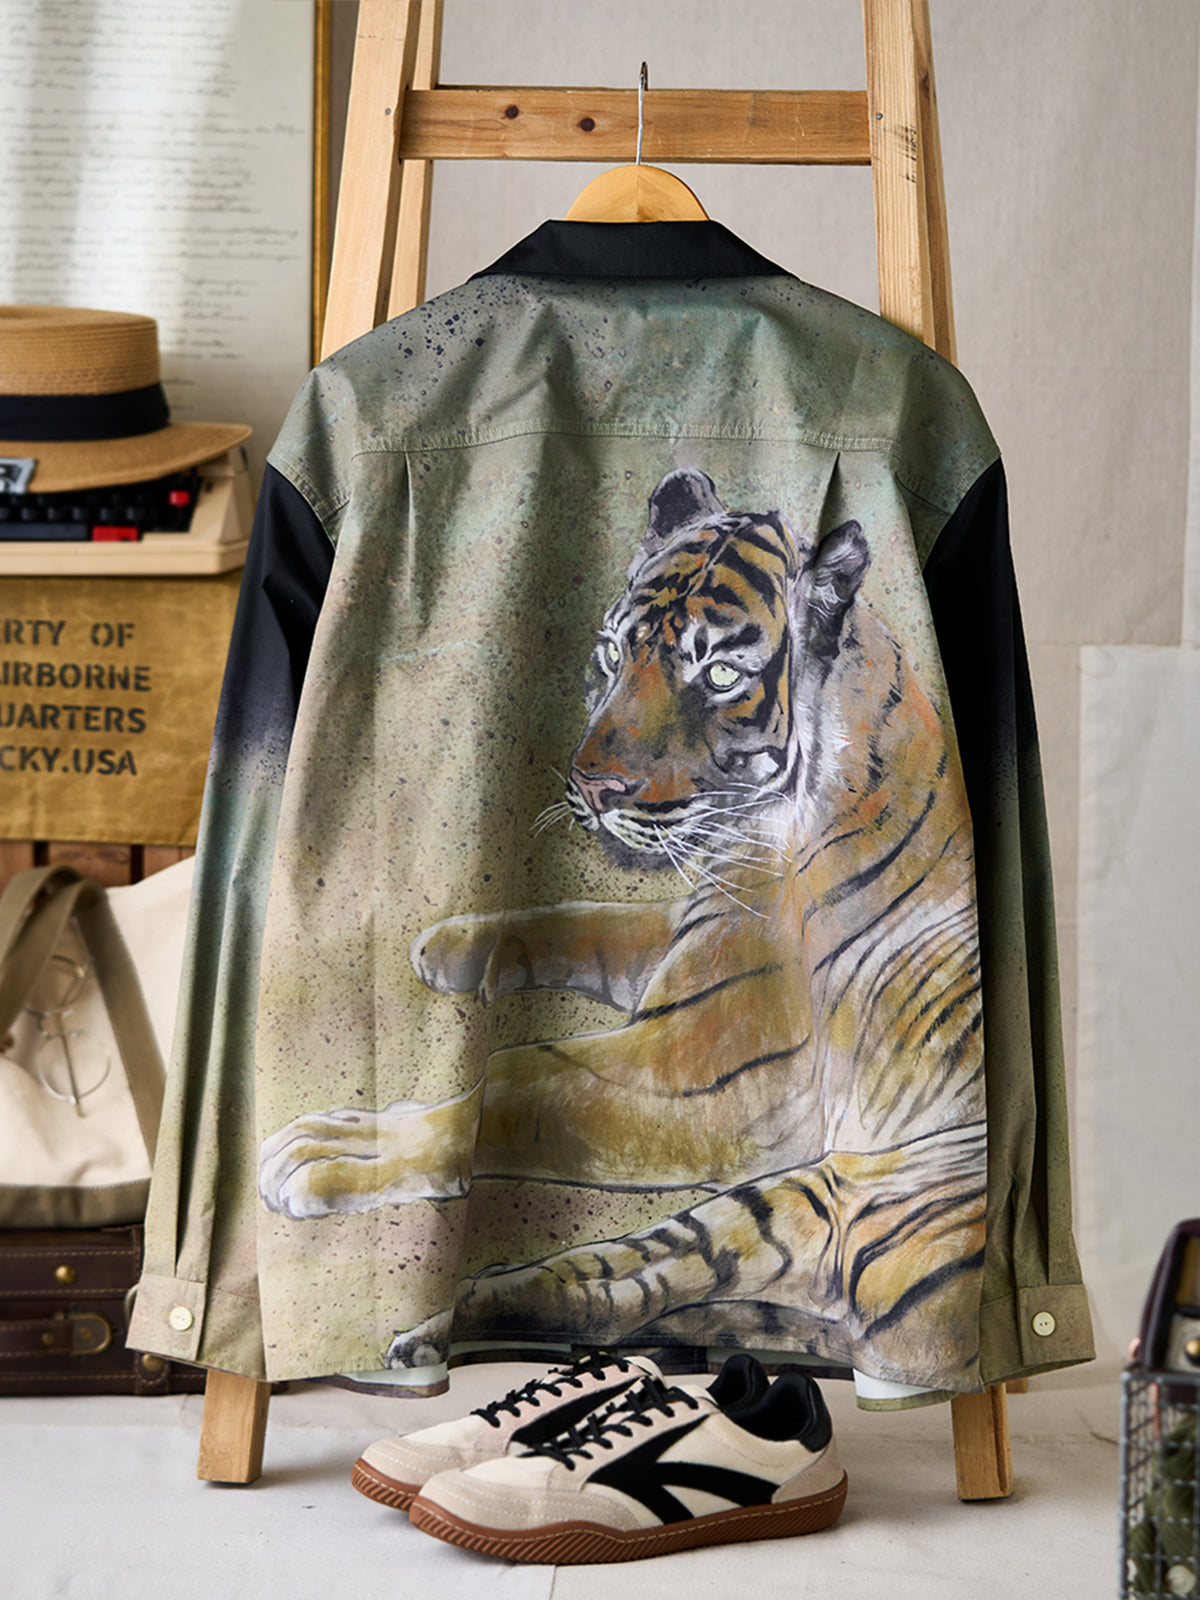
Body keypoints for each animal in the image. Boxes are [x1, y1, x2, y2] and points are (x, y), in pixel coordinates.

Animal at [258, 467, 987, 1389]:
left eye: (720, 673)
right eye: (612, 654)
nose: (592, 786)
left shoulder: (711, 1063)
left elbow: (516, 1077)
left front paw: (323, 1150)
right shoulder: (685, 938)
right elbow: (580, 919)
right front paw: (451, 946)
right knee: (622, 1288)